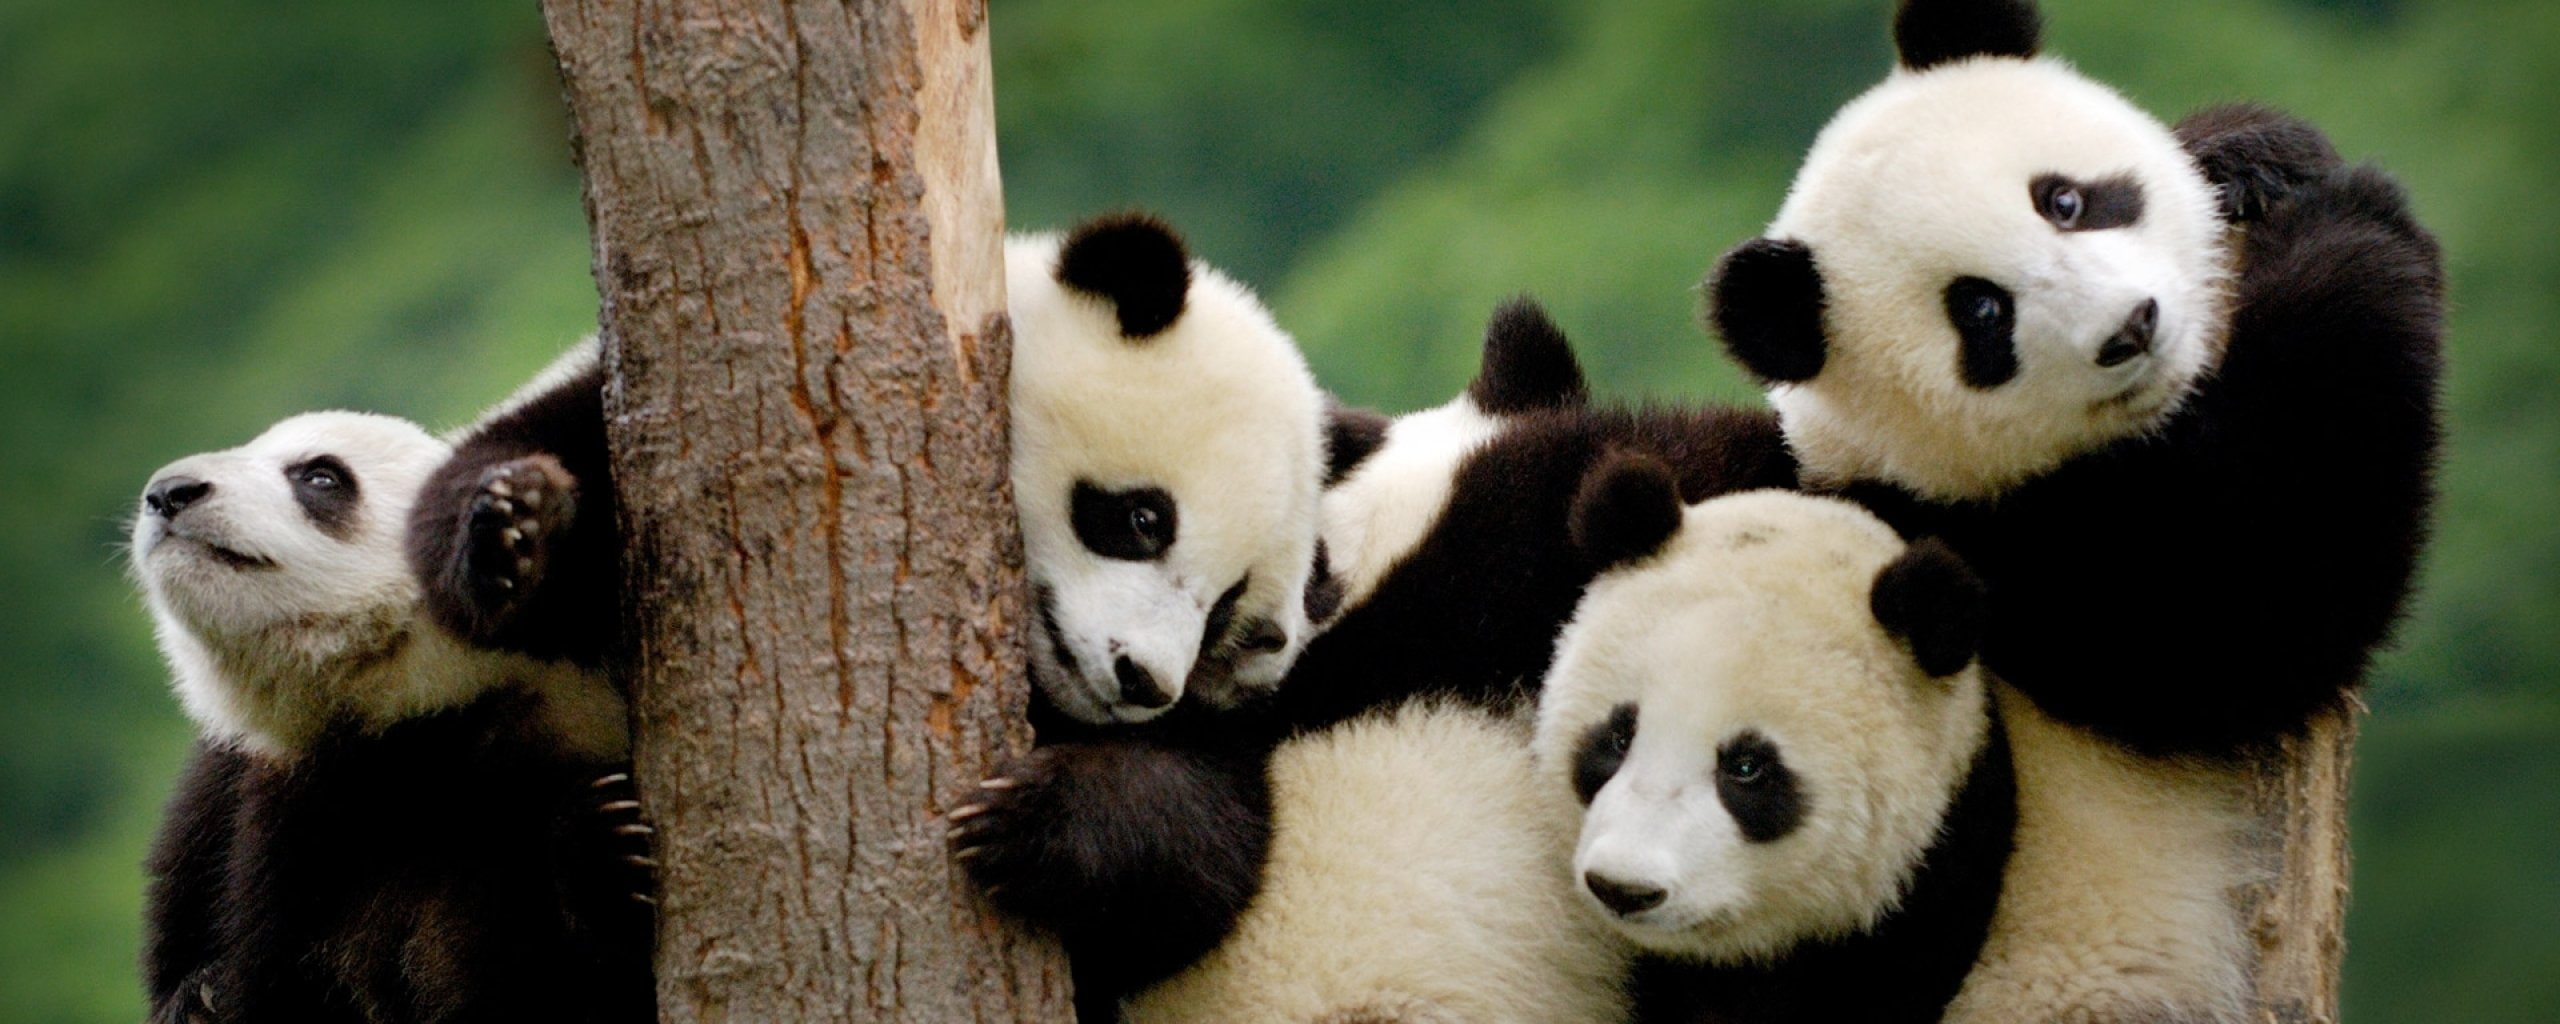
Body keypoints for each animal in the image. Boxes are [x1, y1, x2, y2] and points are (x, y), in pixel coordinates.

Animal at [1702, 1, 2444, 1019]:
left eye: (2064, 201)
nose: (2132, 328)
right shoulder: (1997, 556)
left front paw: (2254, 154)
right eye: (1980, 312)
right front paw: (2355, 225)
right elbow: (2249, 604)